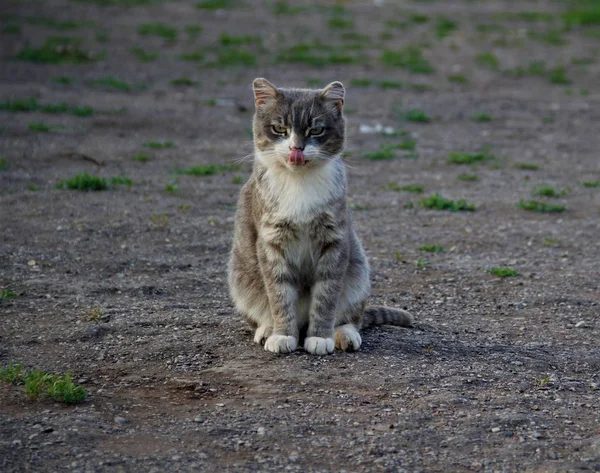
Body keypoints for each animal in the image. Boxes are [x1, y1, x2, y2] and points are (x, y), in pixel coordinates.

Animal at [226, 78, 412, 354]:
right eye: (279, 128)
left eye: (315, 130)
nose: (296, 148)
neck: (299, 183)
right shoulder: (271, 241)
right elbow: (280, 294)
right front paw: (283, 334)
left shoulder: (334, 240)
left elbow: (326, 294)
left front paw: (320, 337)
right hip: (240, 278)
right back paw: (268, 329)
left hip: (358, 272)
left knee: (352, 316)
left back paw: (344, 333)